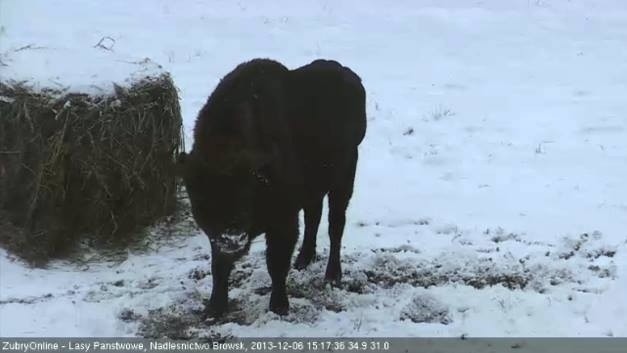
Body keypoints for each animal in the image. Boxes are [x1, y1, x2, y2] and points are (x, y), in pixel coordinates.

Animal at [178, 57, 368, 316]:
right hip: (316, 188)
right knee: (314, 217)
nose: (232, 238)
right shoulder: (216, 236)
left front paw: (279, 306)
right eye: (200, 198)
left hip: (343, 180)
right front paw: (214, 308)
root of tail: (350, 76)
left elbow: (276, 264)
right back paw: (303, 259)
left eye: (246, 193)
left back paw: (332, 275)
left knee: (335, 225)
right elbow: (219, 266)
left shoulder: (283, 220)